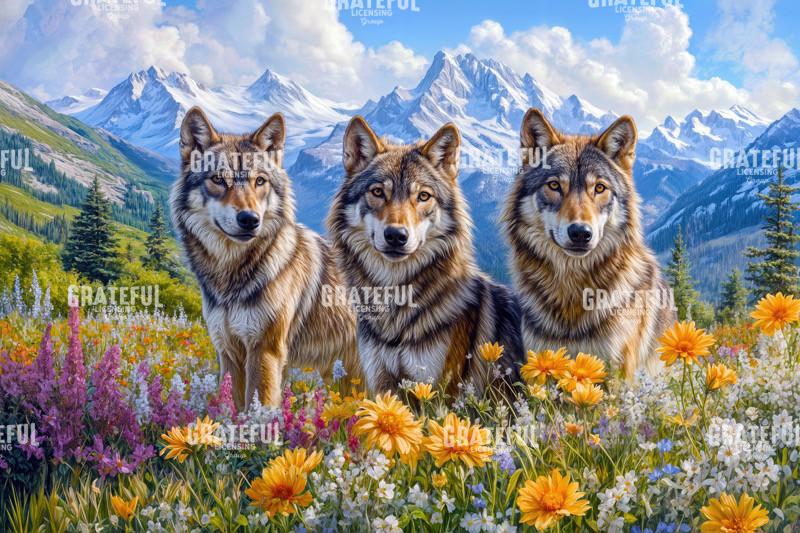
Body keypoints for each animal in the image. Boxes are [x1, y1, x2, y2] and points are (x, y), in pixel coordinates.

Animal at [170, 107, 360, 409]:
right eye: (218, 180)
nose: (249, 219)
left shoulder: (265, 351)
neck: (231, 276)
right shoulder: (228, 352)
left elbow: (257, 408)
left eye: (259, 181)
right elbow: (233, 408)